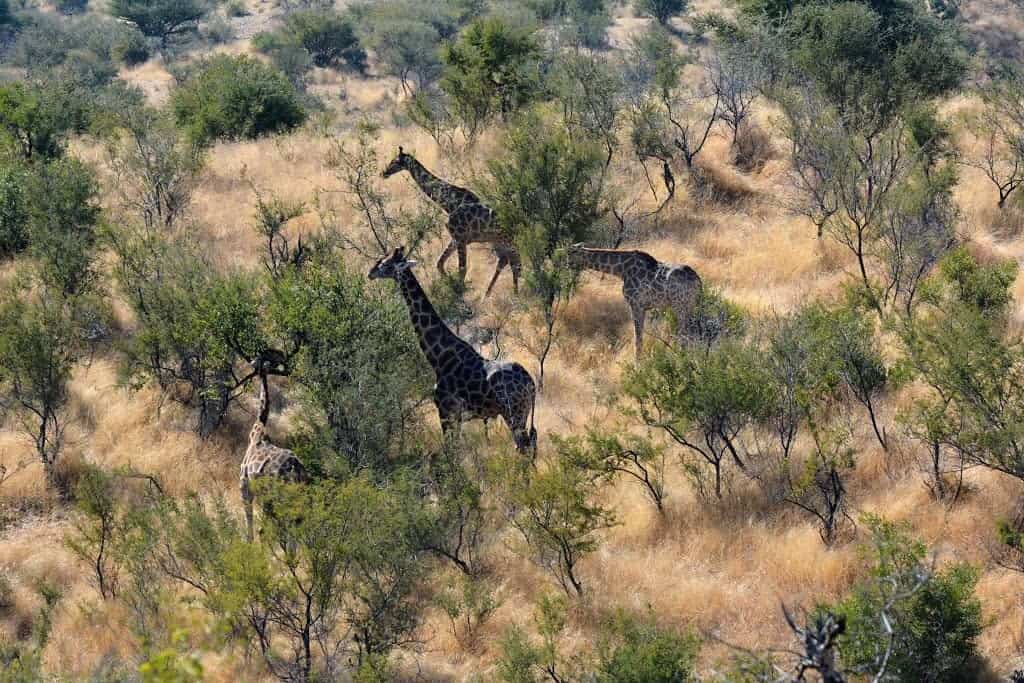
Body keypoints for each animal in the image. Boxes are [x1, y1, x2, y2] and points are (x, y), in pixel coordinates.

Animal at [240, 351, 308, 542]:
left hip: (276, 497)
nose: (251, 363)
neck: (258, 428)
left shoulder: (244, 484)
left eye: (258, 360)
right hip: (298, 496)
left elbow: (250, 525)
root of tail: (295, 469)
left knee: (282, 529)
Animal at [369, 247, 537, 453]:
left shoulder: (446, 411)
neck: (438, 357)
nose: (370, 273)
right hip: (522, 414)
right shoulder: (456, 417)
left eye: (386, 264)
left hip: (514, 414)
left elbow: (451, 451)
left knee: (524, 448)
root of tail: (531, 384)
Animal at [382, 147, 521, 297]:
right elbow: (439, 263)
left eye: (394, 161)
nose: (384, 173)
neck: (449, 203)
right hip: (498, 241)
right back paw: (489, 295)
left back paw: (514, 295)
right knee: (506, 261)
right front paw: (450, 285)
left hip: (507, 241)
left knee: (514, 264)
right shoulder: (455, 239)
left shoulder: (460, 239)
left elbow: (461, 270)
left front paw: (458, 292)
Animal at [568, 244, 703, 359]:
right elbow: (639, 336)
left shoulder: (635, 304)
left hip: (681, 306)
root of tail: (697, 281)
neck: (621, 270)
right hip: (691, 305)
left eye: (571, 253)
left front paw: (637, 364)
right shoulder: (643, 307)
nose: (566, 264)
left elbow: (637, 338)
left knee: (686, 334)